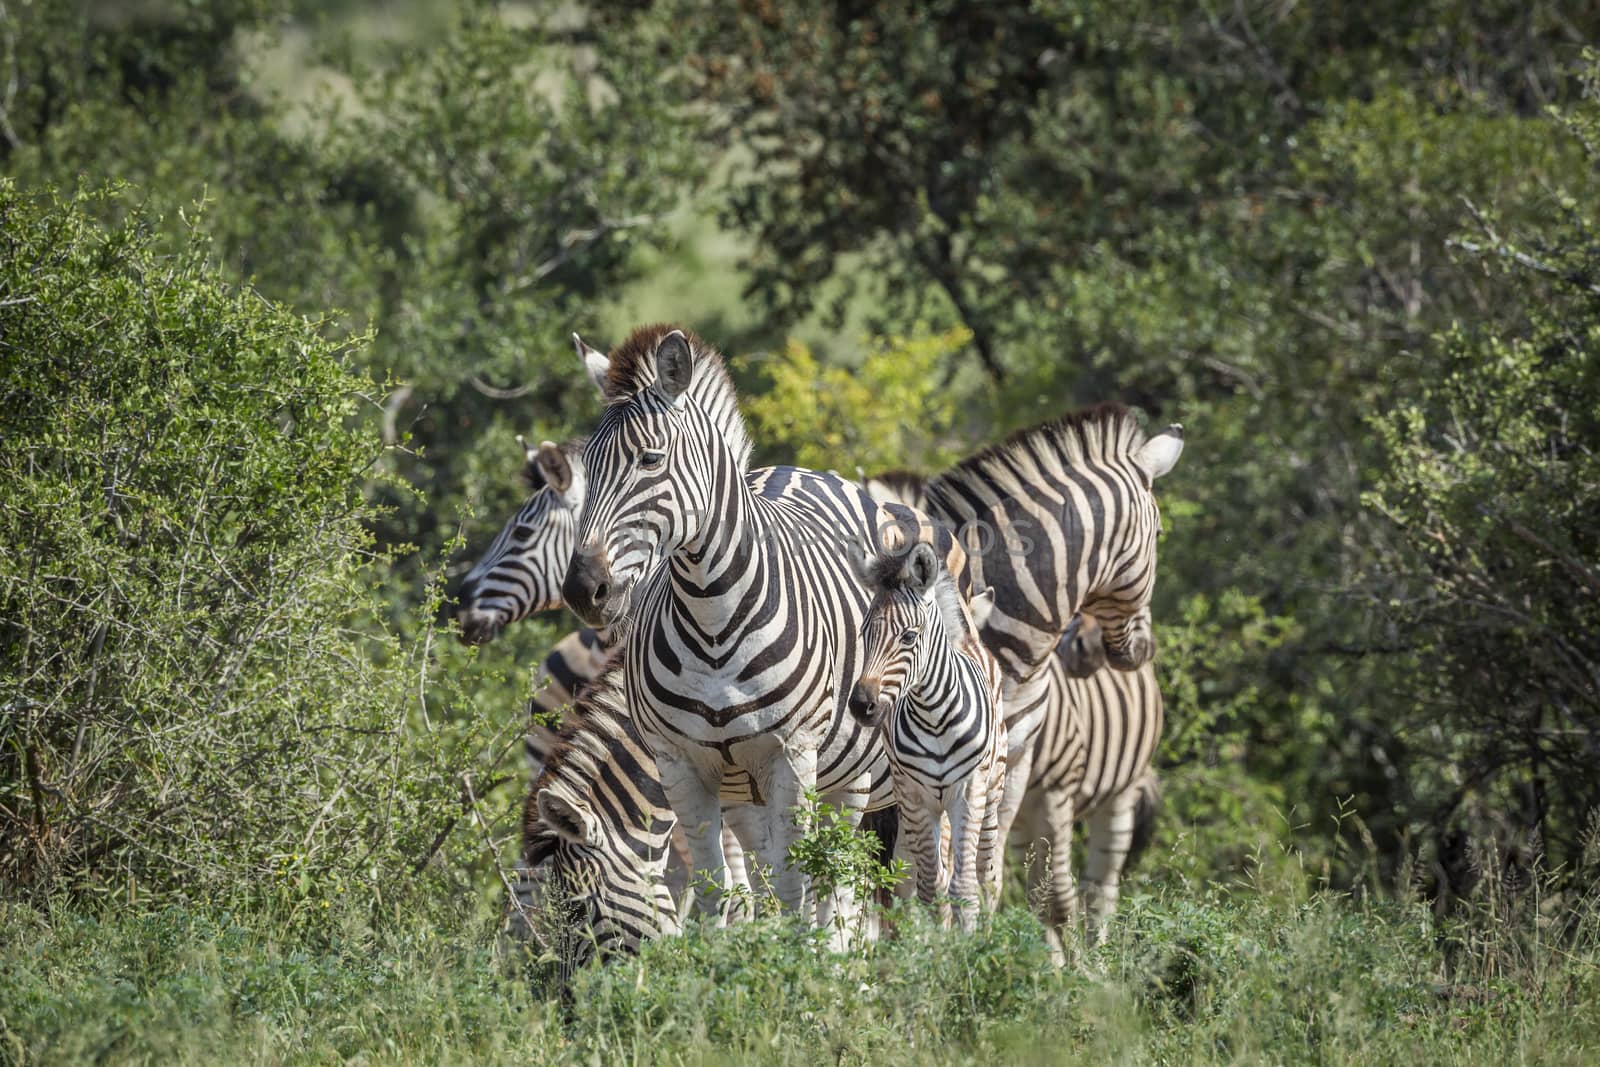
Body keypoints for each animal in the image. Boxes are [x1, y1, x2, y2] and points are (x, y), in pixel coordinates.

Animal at [563, 327, 947, 927]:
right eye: (587, 469)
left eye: (650, 459)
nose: (585, 589)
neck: (712, 622)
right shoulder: (682, 767)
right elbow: (718, 894)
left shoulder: (790, 758)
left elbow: (792, 890)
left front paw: (795, 958)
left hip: (859, 780)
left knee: (854, 887)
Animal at [844, 537, 1004, 927]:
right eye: (865, 633)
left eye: (908, 637)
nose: (861, 705)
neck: (934, 718)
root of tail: (969, 639)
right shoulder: (913, 796)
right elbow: (931, 888)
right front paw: (934, 943)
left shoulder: (968, 791)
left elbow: (964, 887)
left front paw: (967, 943)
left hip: (993, 790)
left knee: (987, 877)